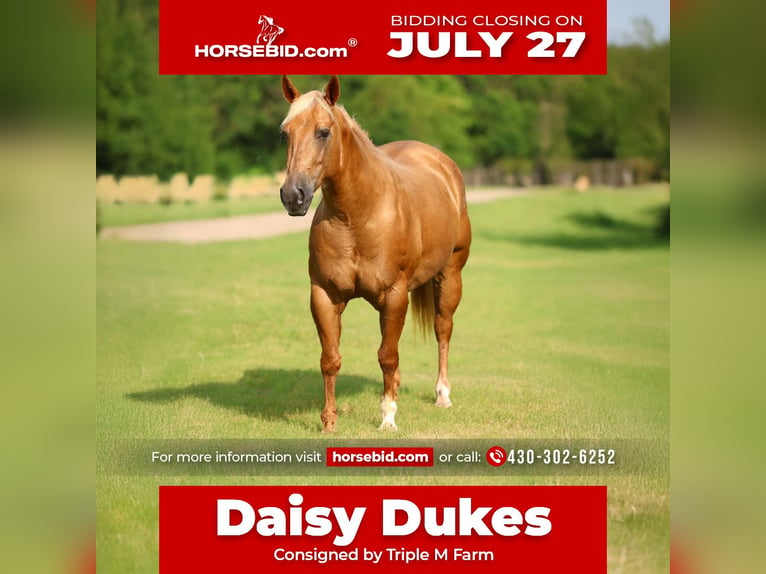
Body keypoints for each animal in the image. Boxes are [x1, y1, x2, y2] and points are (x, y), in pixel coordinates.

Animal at [279, 75, 471, 432]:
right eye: (285, 133)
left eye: (323, 132)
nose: (293, 196)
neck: (356, 217)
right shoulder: (324, 296)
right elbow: (330, 358)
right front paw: (329, 421)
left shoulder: (394, 296)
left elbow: (387, 356)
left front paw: (388, 418)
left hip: (450, 275)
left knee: (442, 329)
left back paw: (442, 395)